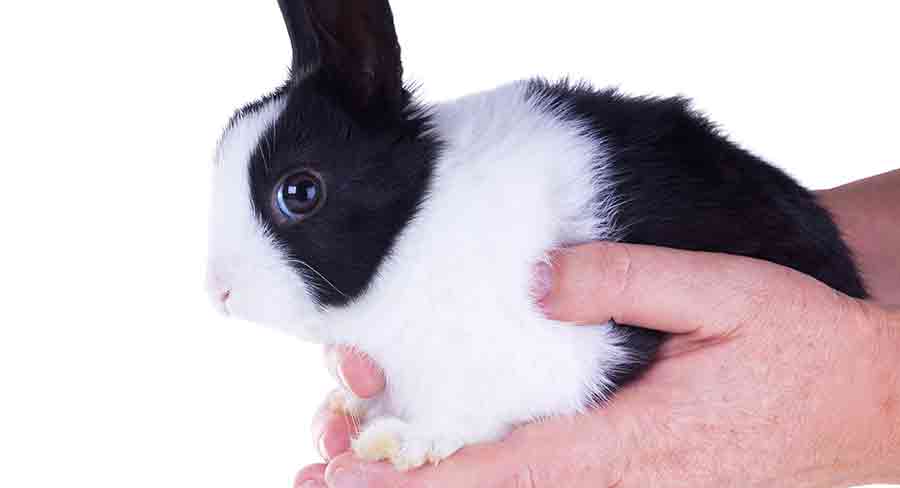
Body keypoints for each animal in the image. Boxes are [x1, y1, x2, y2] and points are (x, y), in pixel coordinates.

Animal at [204, 0, 864, 470]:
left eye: (299, 192)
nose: (219, 293)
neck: (419, 224)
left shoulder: (557, 354)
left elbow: (474, 408)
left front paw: (403, 442)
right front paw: (349, 404)